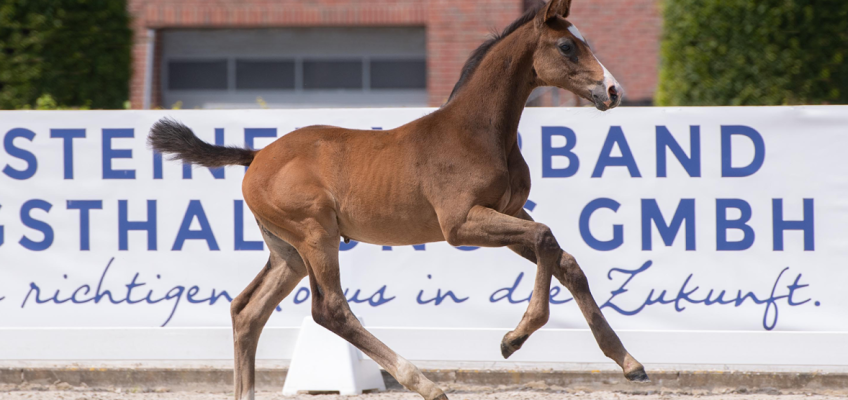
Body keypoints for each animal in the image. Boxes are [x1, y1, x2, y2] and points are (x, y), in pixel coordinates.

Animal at [147, 1, 648, 398]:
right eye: (566, 47)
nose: (613, 91)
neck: (477, 132)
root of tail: (256, 156)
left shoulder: (506, 214)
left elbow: (565, 260)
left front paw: (628, 362)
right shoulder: (460, 224)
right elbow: (546, 237)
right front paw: (513, 338)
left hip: (286, 252)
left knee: (247, 311)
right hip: (315, 235)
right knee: (329, 309)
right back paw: (424, 383)